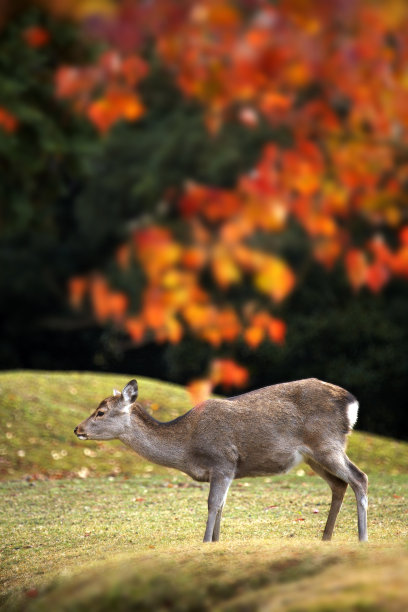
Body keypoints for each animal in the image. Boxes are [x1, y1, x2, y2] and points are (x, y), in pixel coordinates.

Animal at [72, 378, 366, 544]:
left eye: (100, 412)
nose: (77, 429)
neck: (187, 448)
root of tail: (352, 403)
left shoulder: (223, 460)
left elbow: (213, 505)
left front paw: (205, 543)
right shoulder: (225, 471)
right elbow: (222, 506)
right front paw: (216, 542)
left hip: (326, 443)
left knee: (359, 478)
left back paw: (362, 538)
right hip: (312, 456)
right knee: (339, 484)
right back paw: (326, 538)